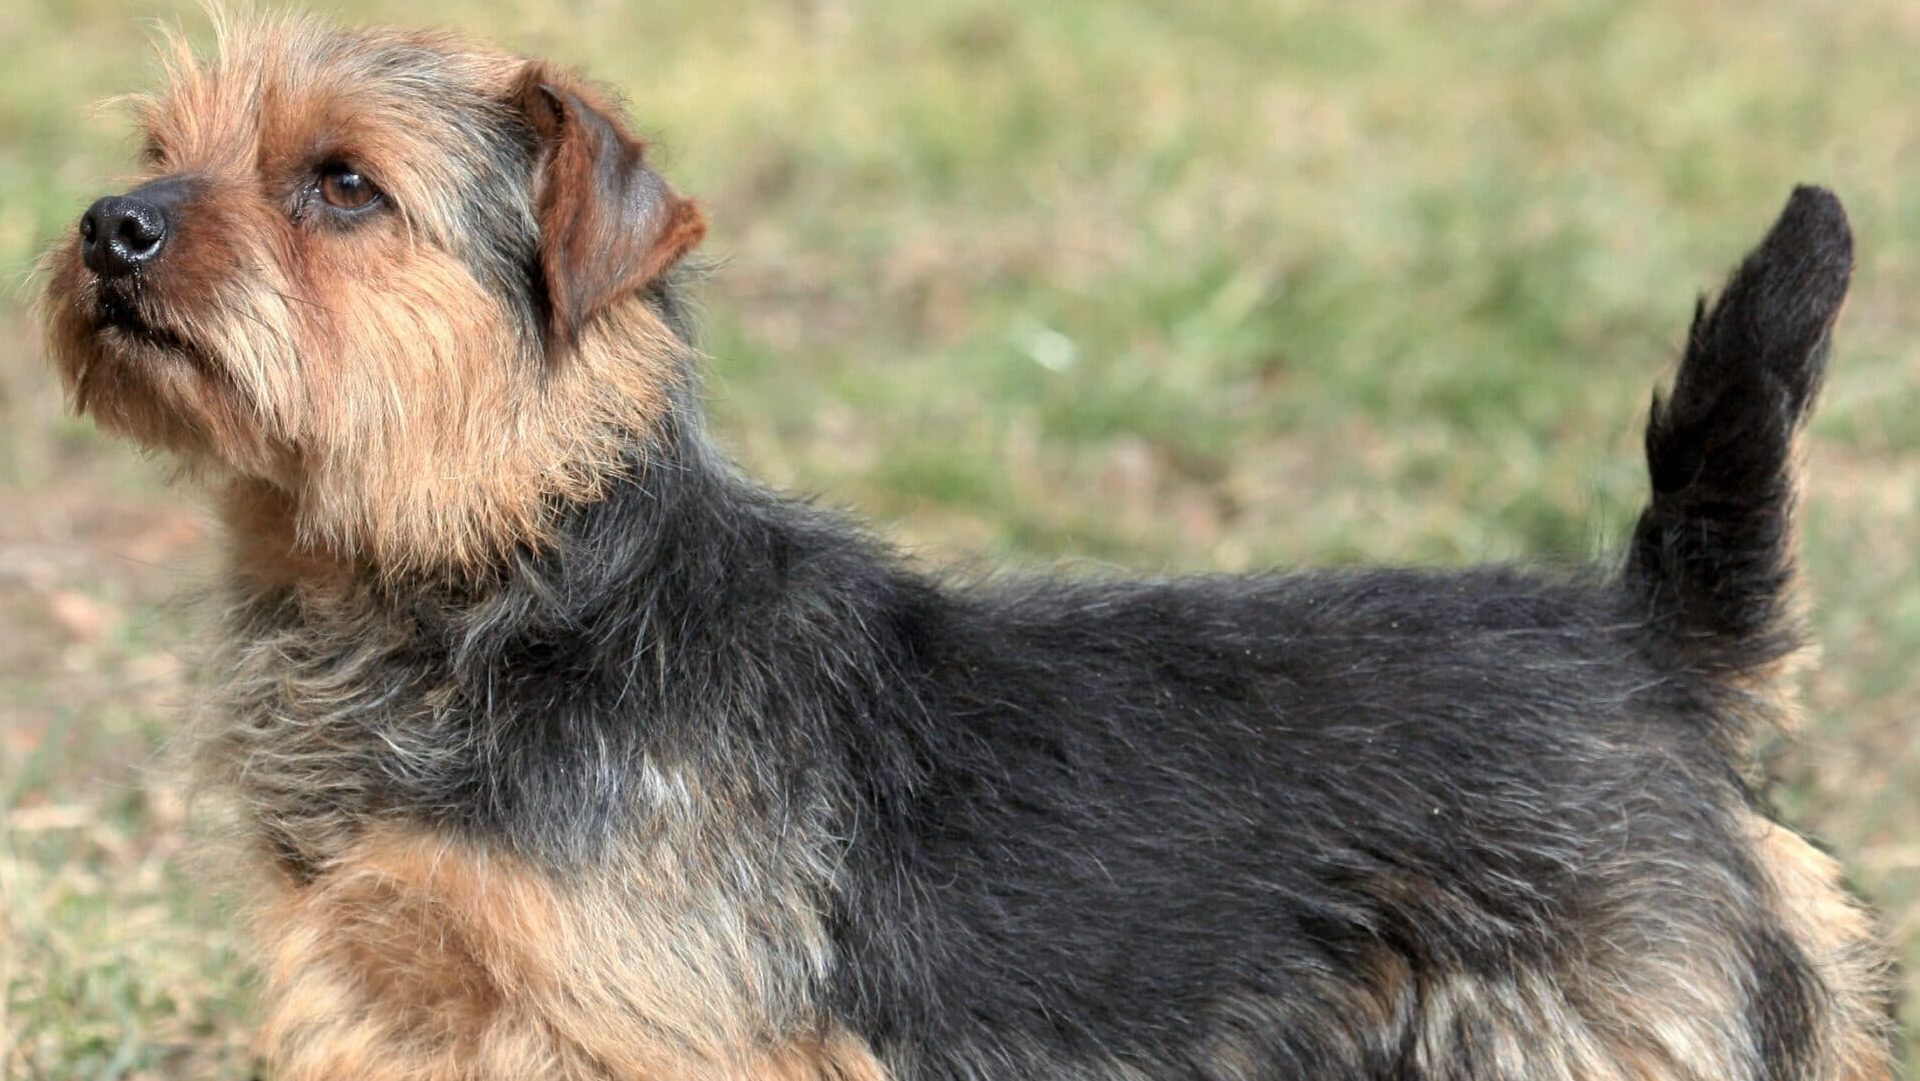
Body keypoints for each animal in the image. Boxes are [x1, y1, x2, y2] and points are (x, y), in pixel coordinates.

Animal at [37, 14, 1896, 1081]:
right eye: (161, 152)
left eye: (342, 186)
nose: (107, 226)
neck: (508, 576)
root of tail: (1650, 648)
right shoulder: (383, 998)